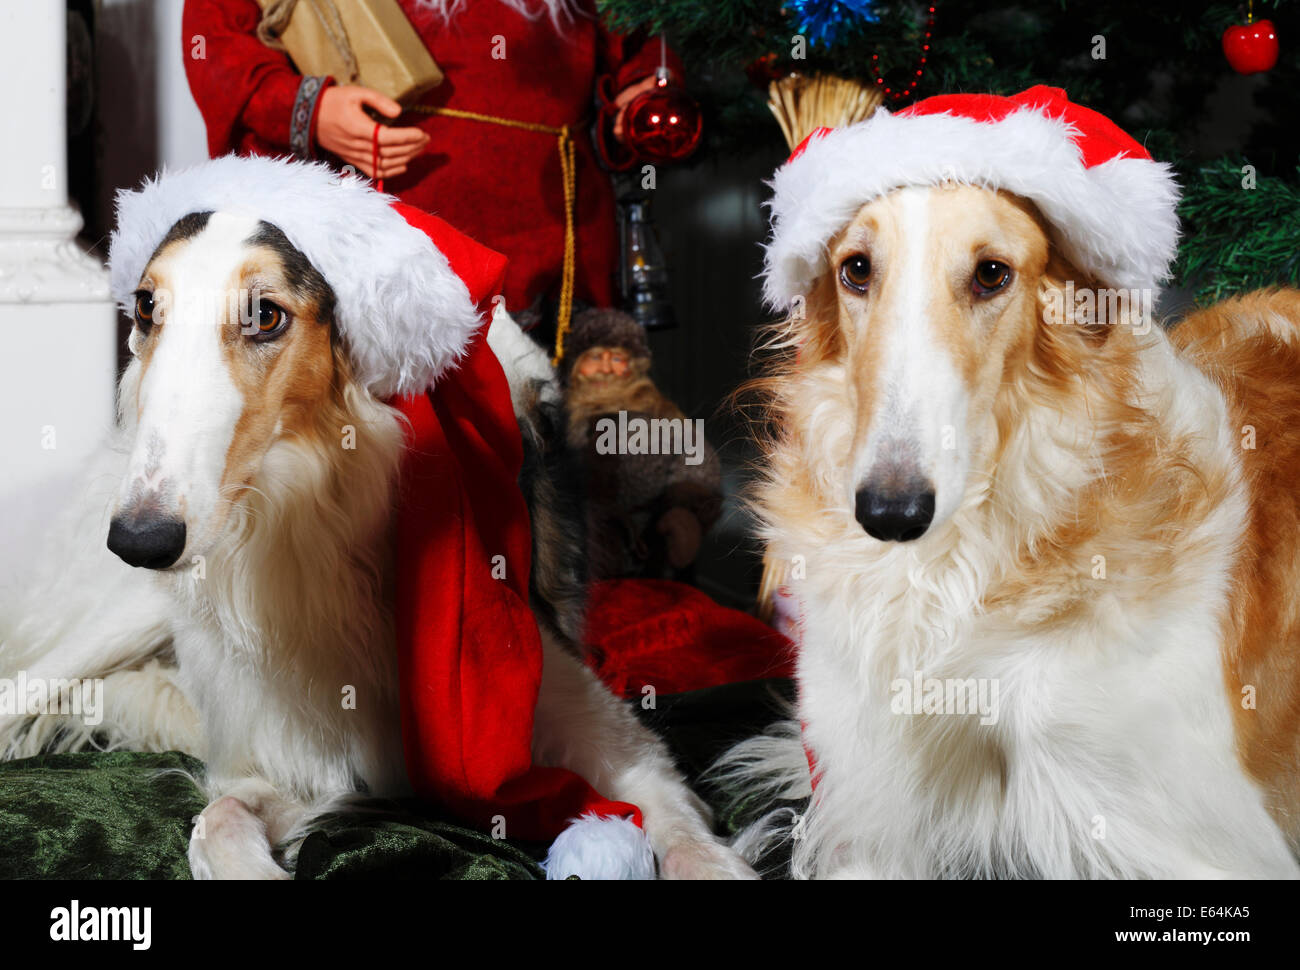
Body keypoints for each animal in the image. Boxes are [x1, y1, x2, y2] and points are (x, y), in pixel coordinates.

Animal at [0, 154, 754, 878]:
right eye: (146, 306)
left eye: (266, 315)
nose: (140, 538)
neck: (316, 519)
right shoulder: (287, 756)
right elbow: (218, 819)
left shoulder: (610, 734)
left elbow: (687, 837)